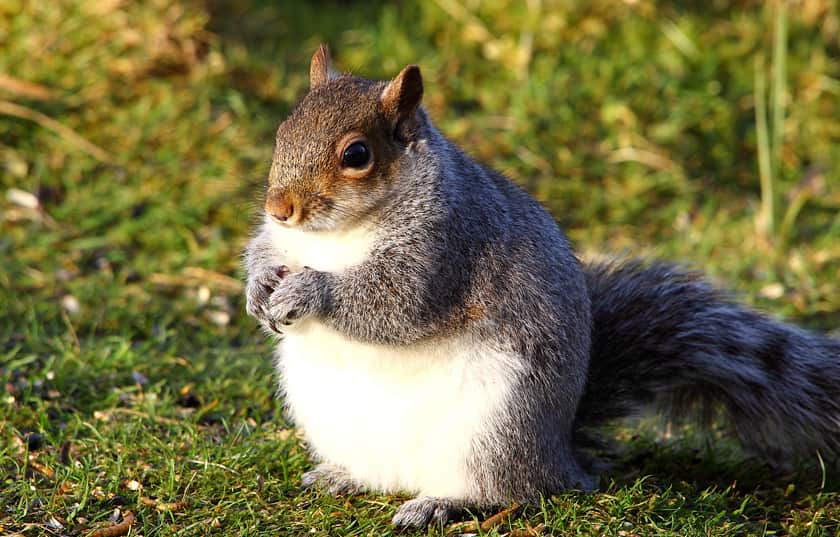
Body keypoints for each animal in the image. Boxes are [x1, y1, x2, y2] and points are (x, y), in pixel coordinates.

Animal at [244, 45, 840, 528]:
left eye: (357, 155)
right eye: (281, 132)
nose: (279, 207)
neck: (336, 237)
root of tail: (560, 457)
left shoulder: (446, 249)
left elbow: (394, 303)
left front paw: (308, 293)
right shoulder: (285, 241)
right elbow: (265, 253)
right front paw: (258, 289)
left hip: (494, 431)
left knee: (506, 492)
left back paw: (438, 503)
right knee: (381, 475)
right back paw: (342, 475)